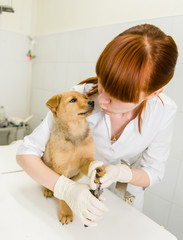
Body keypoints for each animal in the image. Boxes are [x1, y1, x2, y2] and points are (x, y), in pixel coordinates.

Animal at [41, 91, 104, 225]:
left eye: (85, 97)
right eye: (73, 100)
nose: (92, 102)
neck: (76, 130)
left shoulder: (85, 160)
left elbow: (92, 163)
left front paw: (101, 170)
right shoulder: (61, 168)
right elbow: (65, 191)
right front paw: (66, 213)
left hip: (79, 174)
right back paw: (49, 190)